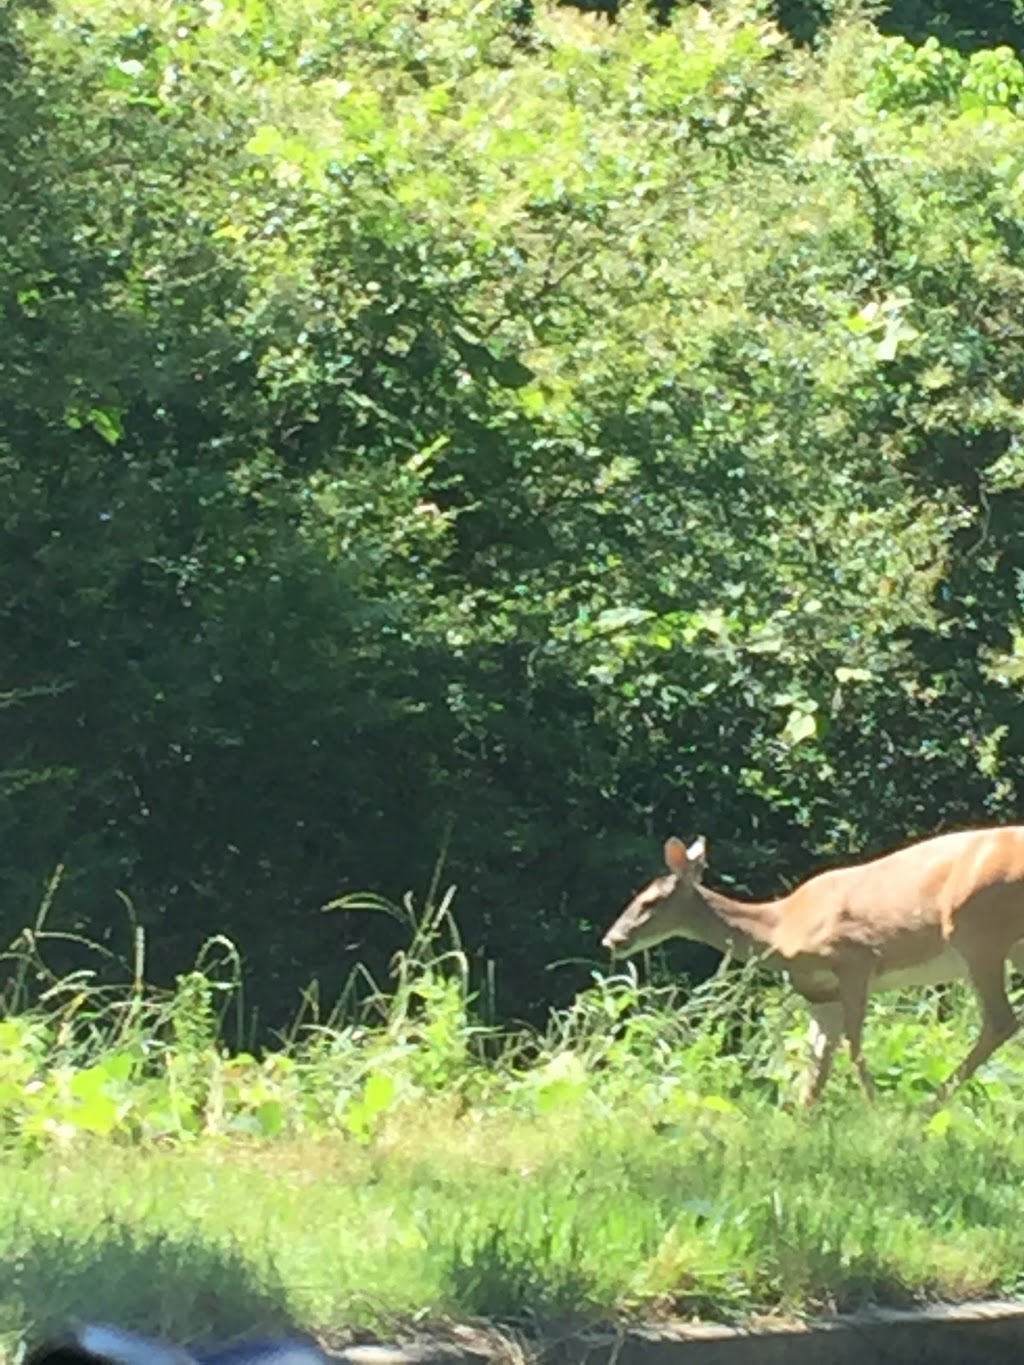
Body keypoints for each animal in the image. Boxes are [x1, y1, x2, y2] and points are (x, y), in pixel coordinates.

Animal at [600, 824, 1024, 1102]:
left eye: (650, 901)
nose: (612, 940)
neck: (782, 927)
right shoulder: (820, 993)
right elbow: (816, 1065)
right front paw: (801, 1126)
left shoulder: (855, 957)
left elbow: (854, 1046)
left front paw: (875, 1108)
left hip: (977, 930)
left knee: (1001, 1020)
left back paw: (925, 1109)